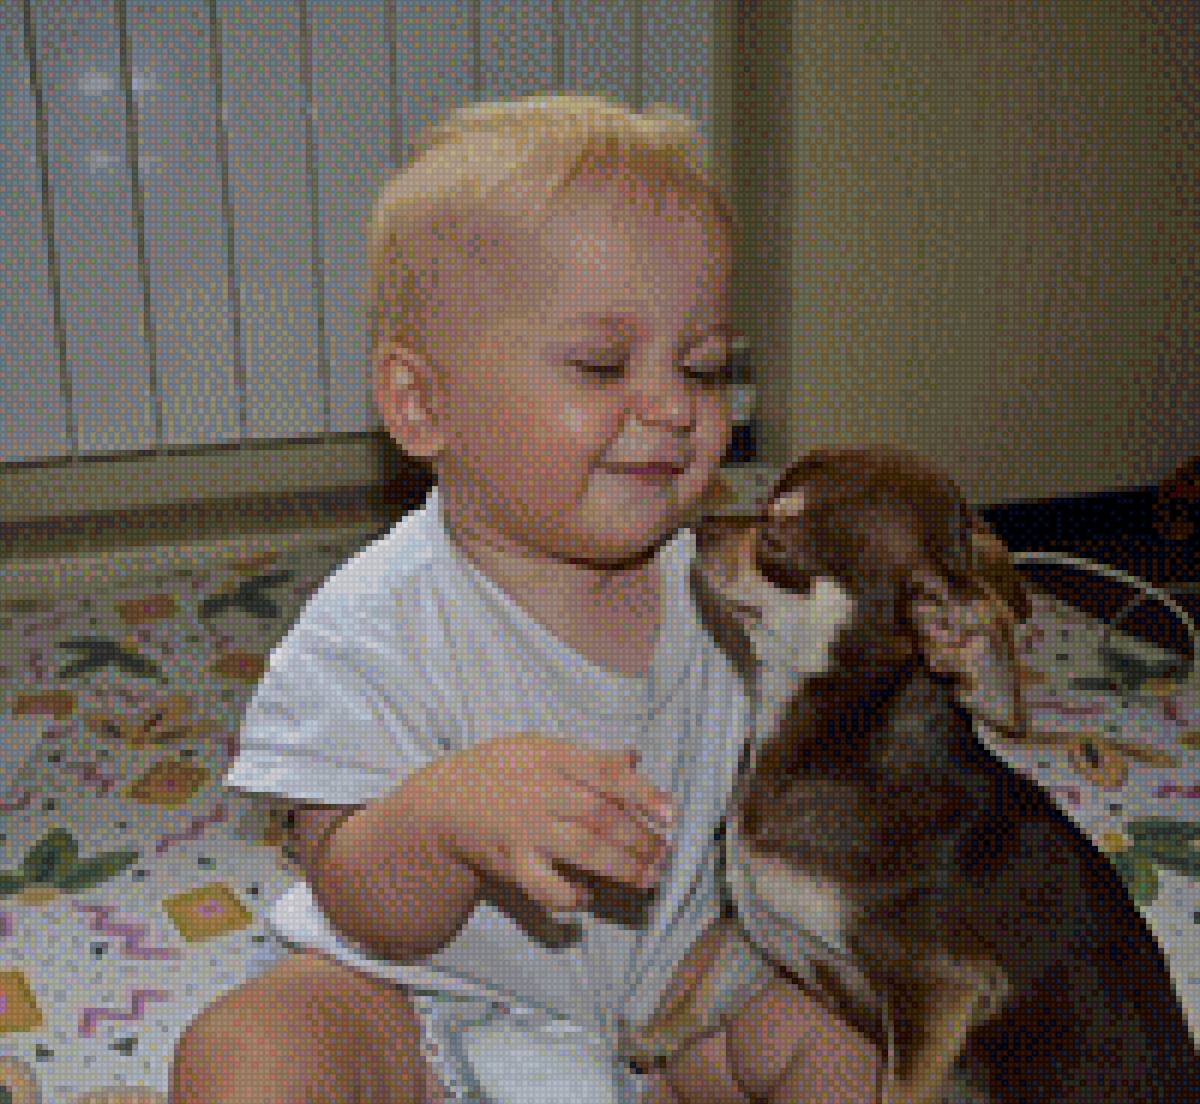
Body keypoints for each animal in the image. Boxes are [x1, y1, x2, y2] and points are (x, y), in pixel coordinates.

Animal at [620, 445, 1200, 1103]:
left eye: (776, 536)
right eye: (763, 500)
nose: (699, 526)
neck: (835, 751)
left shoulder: (939, 996)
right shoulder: (763, 928)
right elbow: (707, 995)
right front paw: (654, 1037)